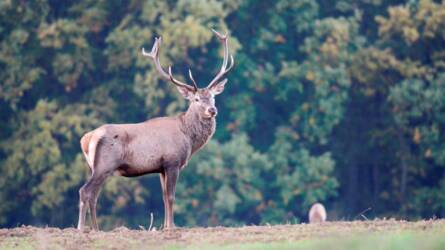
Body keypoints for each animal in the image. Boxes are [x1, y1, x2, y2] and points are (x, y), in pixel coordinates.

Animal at [77, 29, 234, 230]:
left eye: (213, 96)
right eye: (196, 99)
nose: (212, 110)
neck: (188, 138)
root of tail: (87, 139)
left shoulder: (160, 168)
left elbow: (164, 198)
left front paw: (165, 226)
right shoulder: (173, 161)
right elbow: (171, 196)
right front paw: (172, 226)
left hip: (96, 167)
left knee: (93, 195)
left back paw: (95, 229)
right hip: (105, 164)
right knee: (85, 191)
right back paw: (82, 228)